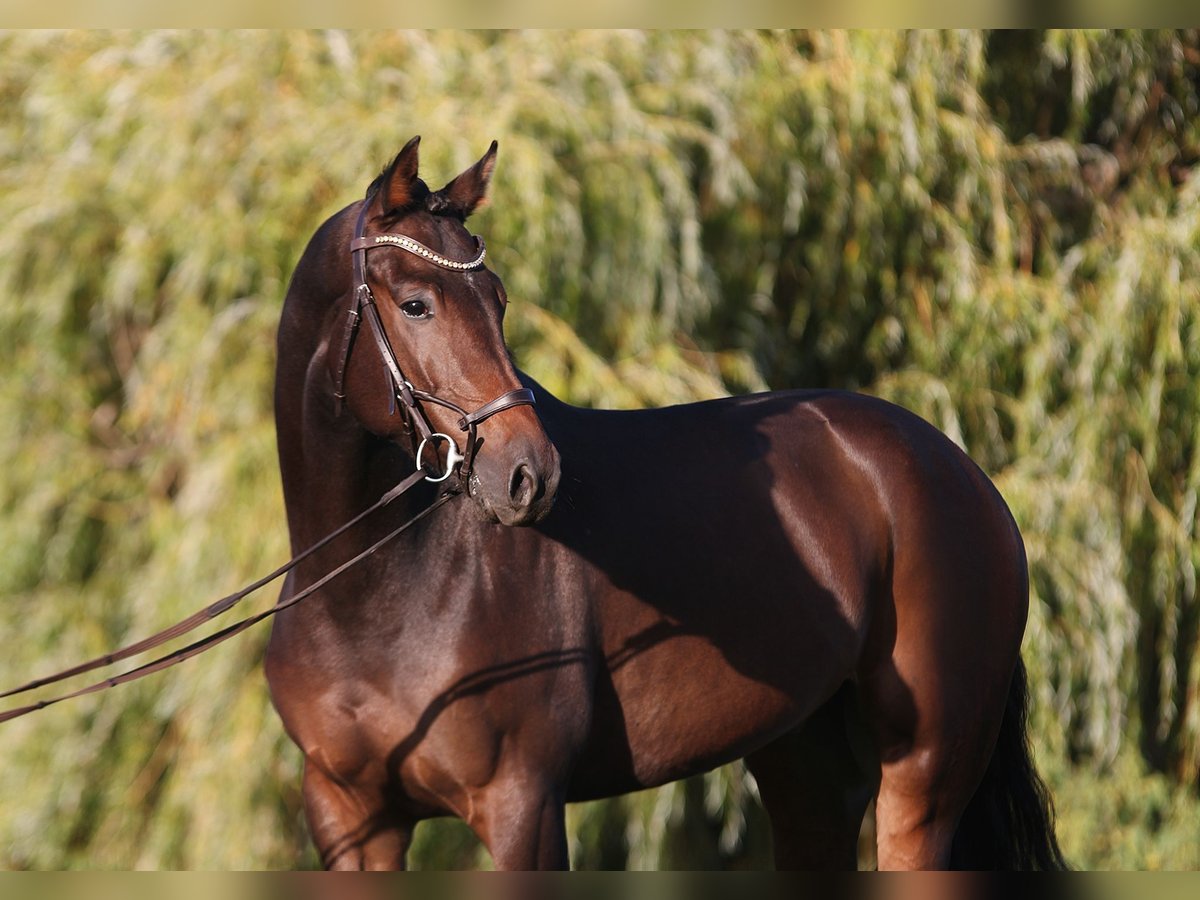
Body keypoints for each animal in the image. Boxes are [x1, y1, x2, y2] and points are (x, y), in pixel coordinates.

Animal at [267, 139, 1065, 873]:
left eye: (498, 300)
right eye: (415, 303)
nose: (529, 475)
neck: (379, 598)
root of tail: (959, 471)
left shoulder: (521, 805)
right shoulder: (352, 818)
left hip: (923, 773)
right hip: (805, 766)